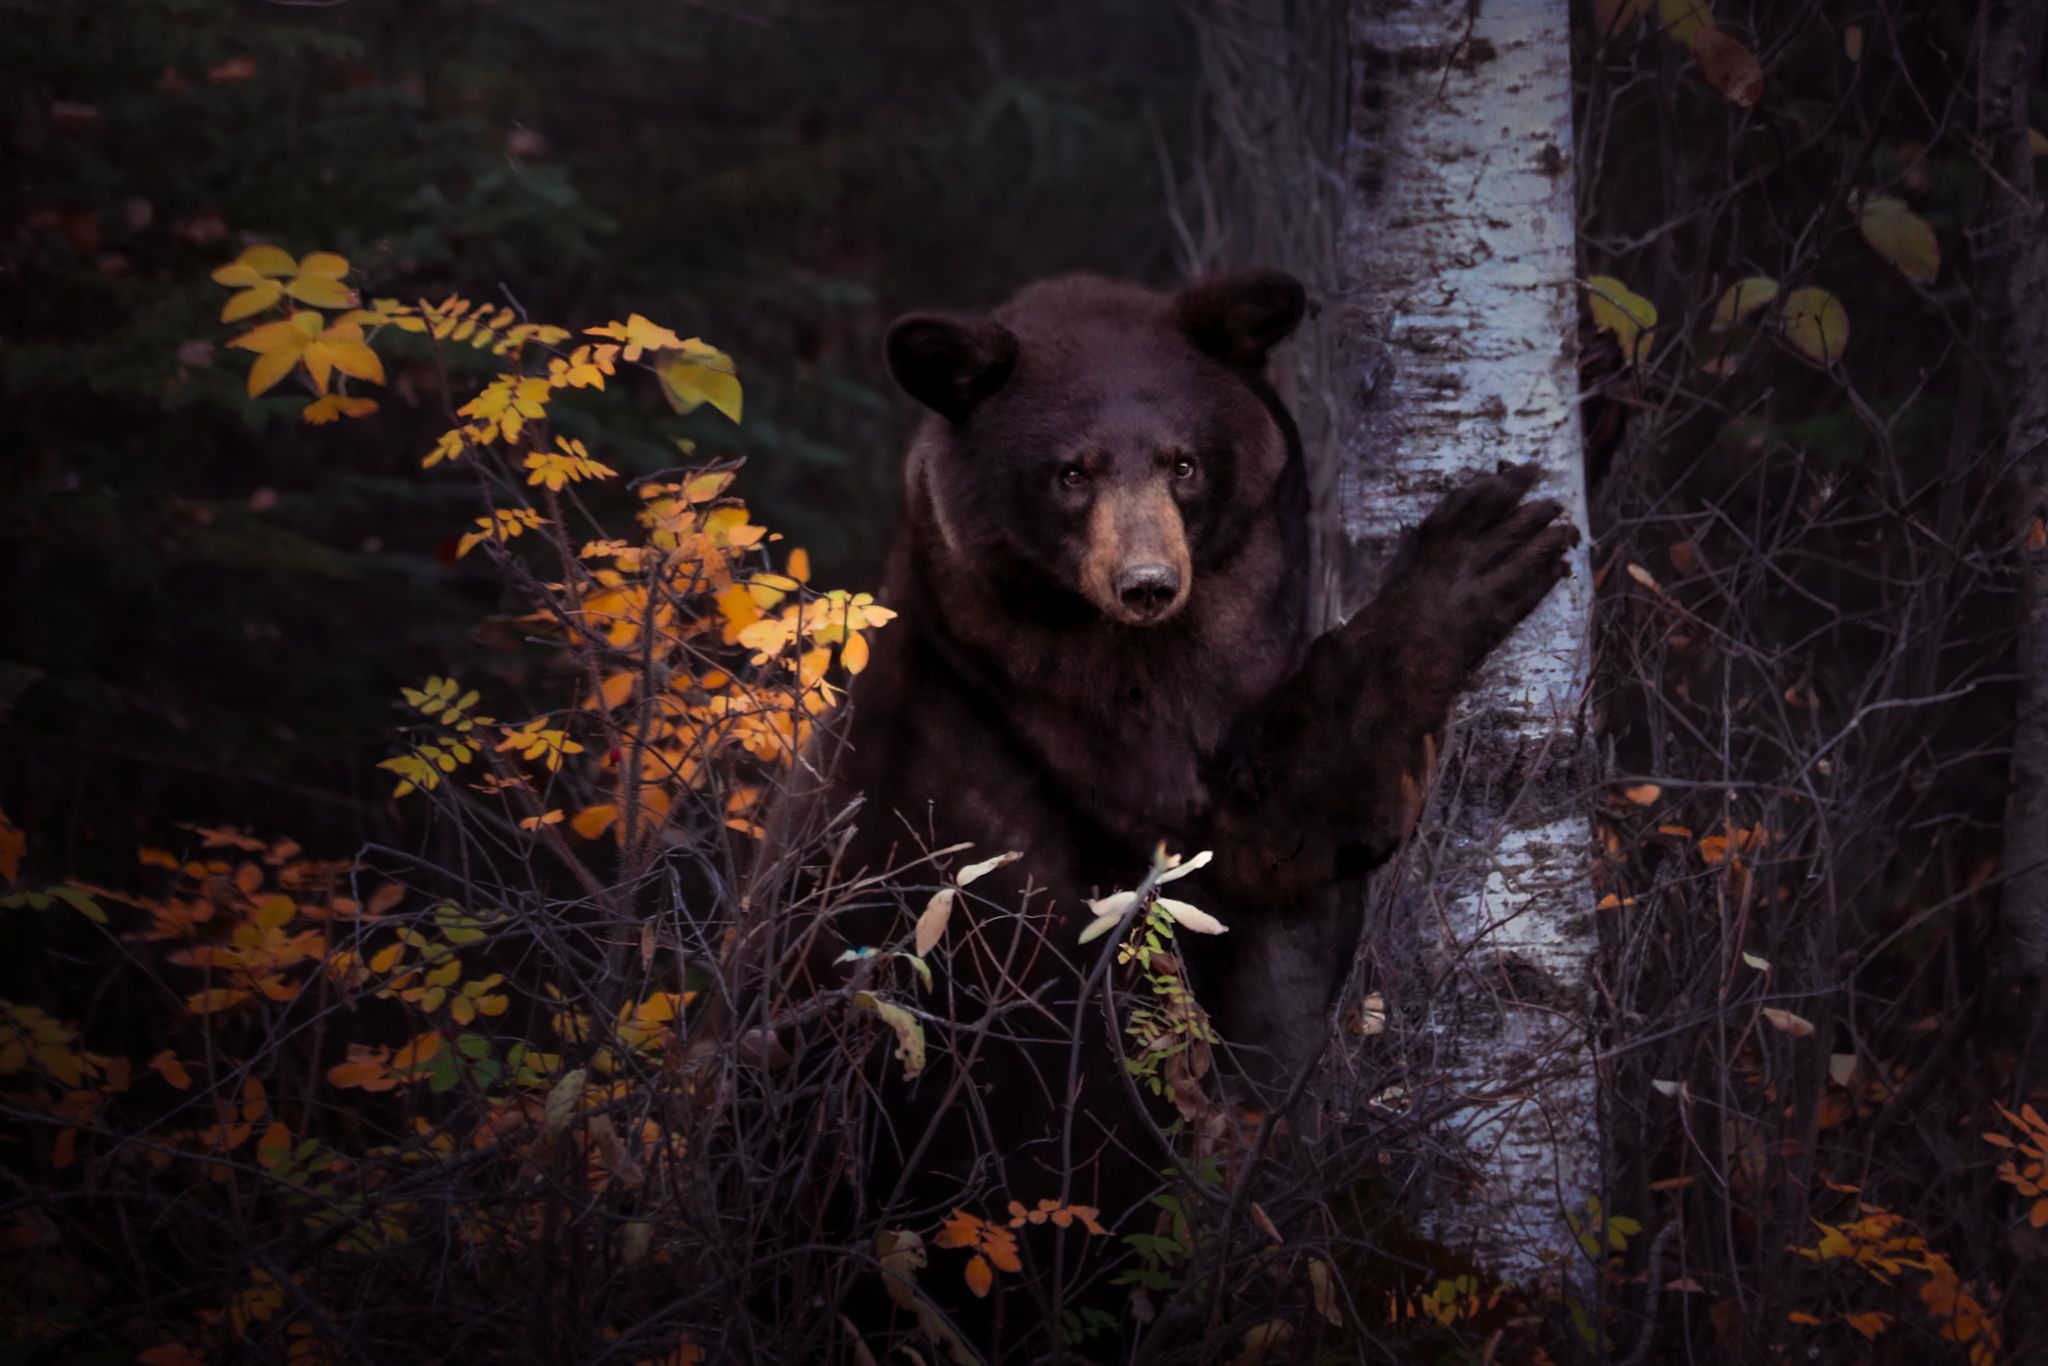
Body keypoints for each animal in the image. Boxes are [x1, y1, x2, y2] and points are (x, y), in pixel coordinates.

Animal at [730, 269, 1577, 1359]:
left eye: (1183, 461)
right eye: (1069, 473)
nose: (1145, 584)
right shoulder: (1070, 711)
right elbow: (1246, 831)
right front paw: (1478, 551)